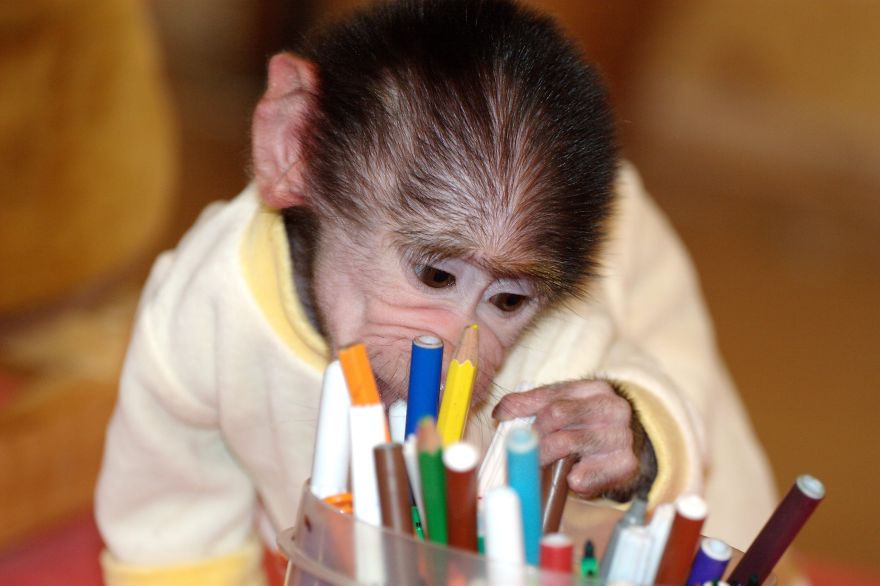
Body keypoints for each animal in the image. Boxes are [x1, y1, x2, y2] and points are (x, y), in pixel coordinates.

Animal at [96, 0, 779, 582]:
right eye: (435, 276)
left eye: (508, 303)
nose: (454, 348)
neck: (321, 335)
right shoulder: (173, 325)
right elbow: (171, 518)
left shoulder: (567, 339)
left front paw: (600, 430)